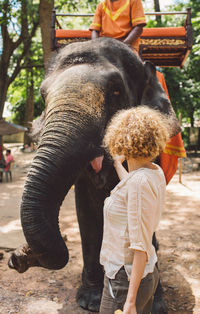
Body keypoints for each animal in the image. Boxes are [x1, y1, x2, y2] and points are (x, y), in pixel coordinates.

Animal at [7, 36, 180, 312]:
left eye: (116, 90)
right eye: (43, 95)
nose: (18, 256)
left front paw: (156, 304)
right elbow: (86, 208)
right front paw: (89, 300)